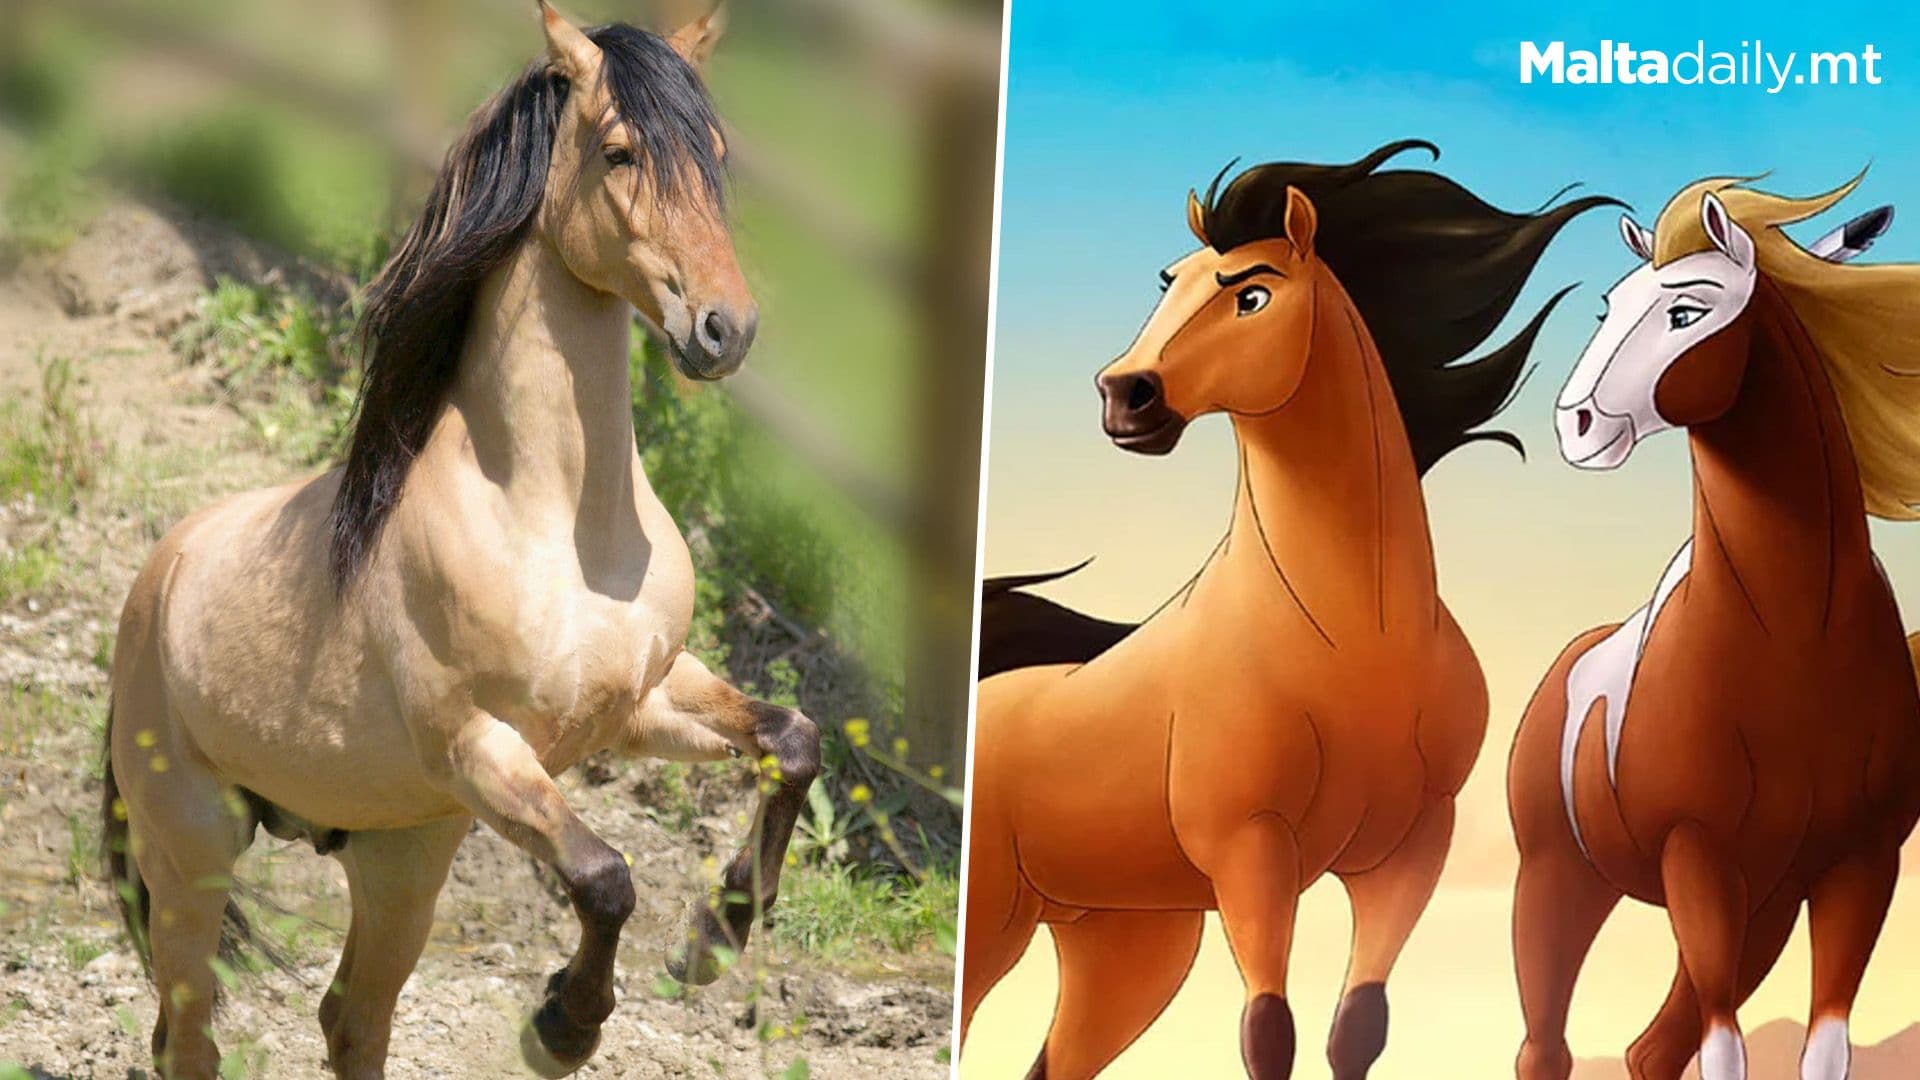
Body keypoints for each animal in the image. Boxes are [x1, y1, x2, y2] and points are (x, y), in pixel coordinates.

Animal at [97, 5, 821, 1078]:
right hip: (194, 853)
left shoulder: (635, 705)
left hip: (403, 854)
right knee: (189, 1034)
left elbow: (791, 739)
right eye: (618, 152)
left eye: (718, 155)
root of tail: (157, 580)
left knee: (351, 1019)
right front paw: (562, 1024)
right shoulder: (480, 750)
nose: (723, 329)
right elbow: (607, 876)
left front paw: (715, 939)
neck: (562, 526)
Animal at [960, 141, 1613, 1080]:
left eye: (1252, 293)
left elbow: (1357, 1027)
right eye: (1170, 281)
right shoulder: (1252, 853)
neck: (1355, 638)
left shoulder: (1409, 851)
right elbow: (1269, 1031)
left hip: (1131, 948)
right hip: (999, 924)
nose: (1125, 395)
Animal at [1509, 176, 1920, 1080]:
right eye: (1608, 305)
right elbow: (1724, 1048)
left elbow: (1823, 1049)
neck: (1796, 640)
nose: (1576, 425)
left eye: (1687, 312)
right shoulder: (1696, 858)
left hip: (1764, 907)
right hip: (1556, 880)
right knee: (1545, 1047)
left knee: (1650, 1048)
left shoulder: (1860, 864)